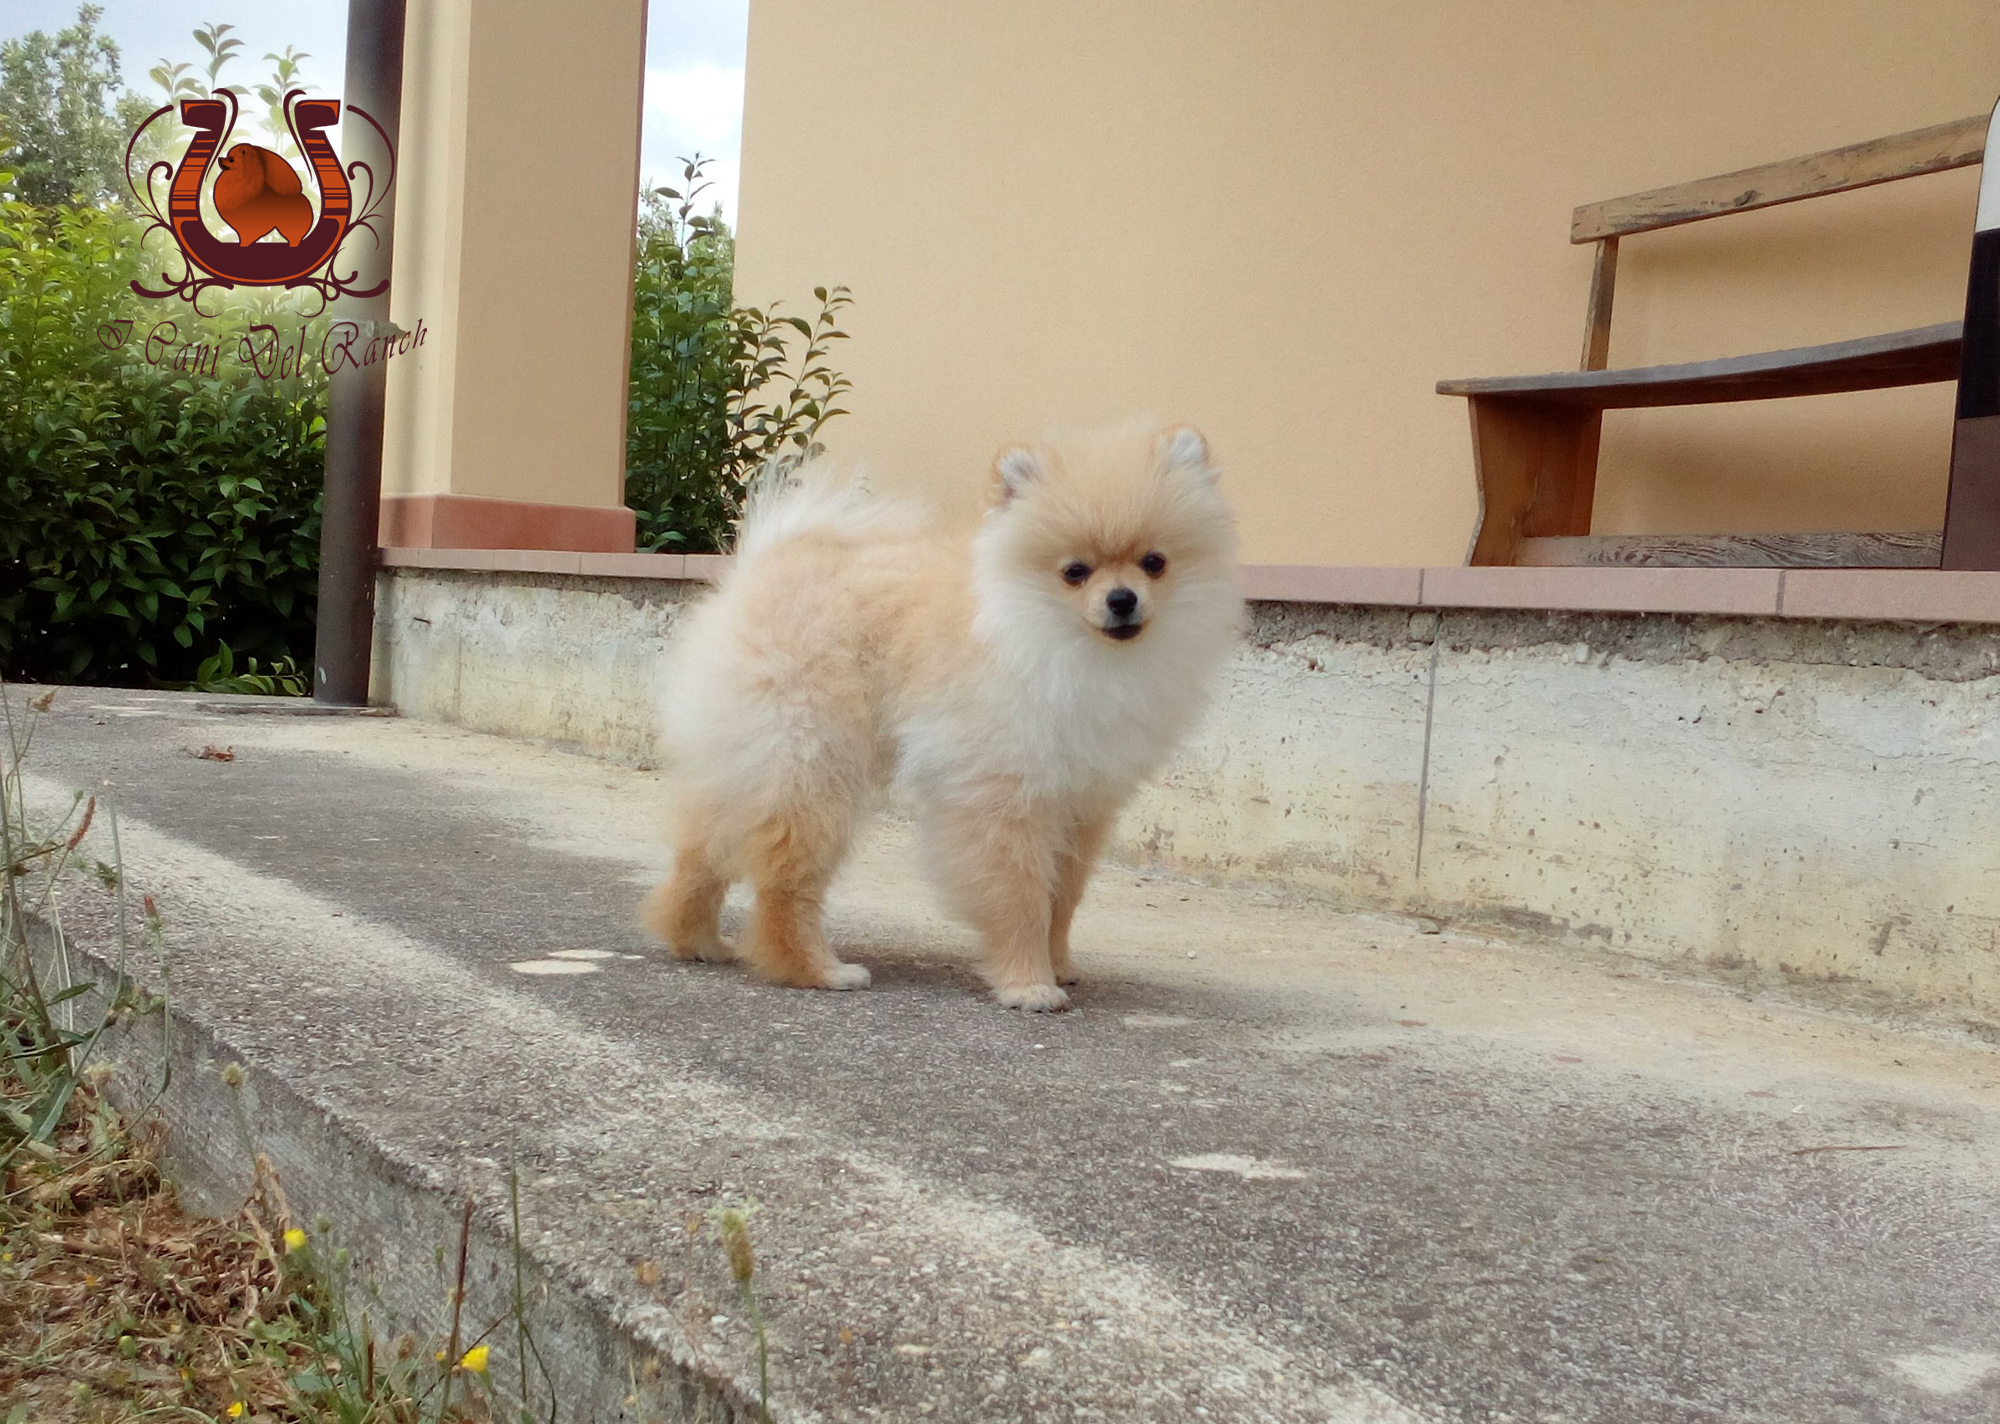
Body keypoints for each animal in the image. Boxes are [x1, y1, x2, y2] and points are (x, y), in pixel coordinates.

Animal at [640, 418, 1240, 1008]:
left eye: (1154, 563)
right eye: (1075, 571)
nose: (1122, 599)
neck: (1045, 634)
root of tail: (764, 565)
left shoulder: (1082, 801)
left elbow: (1062, 897)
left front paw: (1059, 964)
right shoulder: (1005, 795)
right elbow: (1022, 898)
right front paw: (1029, 984)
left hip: (748, 754)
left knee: (702, 847)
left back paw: (696, 939)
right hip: (808, 759)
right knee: (784, 878)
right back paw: (816, 969)